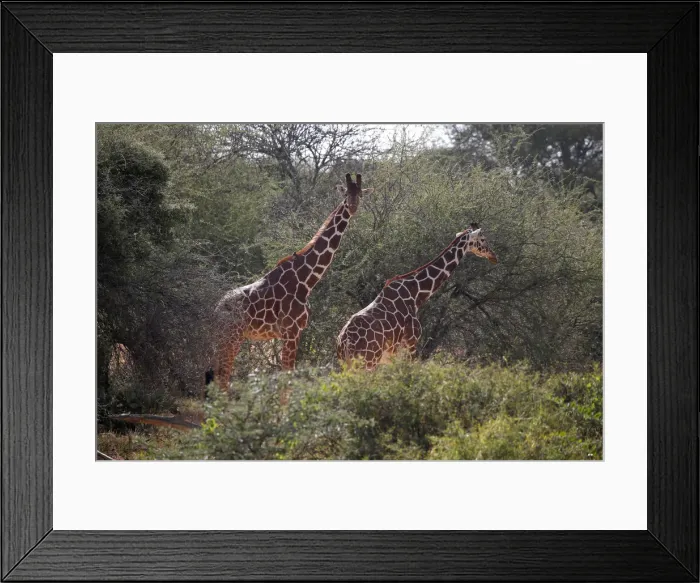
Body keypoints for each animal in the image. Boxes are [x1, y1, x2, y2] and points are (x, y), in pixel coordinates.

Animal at [208, 173, 373, 391]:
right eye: (346, 194)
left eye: (360, 194)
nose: (353, 207)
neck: (306, 280)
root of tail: (215, 311)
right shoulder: (291, 331)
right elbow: (287, 377)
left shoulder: (292, 333)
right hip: (231, 339)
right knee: (223, 378)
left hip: (228, 340)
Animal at [336, 224, 498, 369]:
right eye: (483, 239)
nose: (494, 256)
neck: (416, 295)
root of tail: (345, 342)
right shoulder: (410, 344)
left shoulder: (392, 354)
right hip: (368, 361)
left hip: (348, 364)